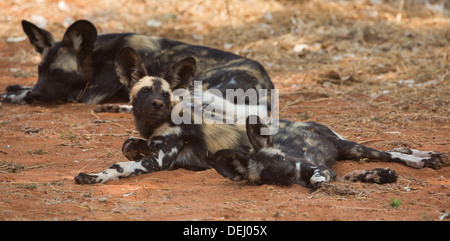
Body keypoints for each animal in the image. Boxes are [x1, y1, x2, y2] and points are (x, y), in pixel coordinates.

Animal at [1, 19, 272, 107]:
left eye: (58, 73)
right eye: (39, 71)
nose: (38, 93)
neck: (97, 55)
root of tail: (267, 80)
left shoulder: (84, 95)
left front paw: (15, 96)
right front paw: (16, 89)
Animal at [74, 47, 268, 185]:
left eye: (166, 94)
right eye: (145, 91)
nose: (158, 104)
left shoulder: (158, 160)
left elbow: (118, 165)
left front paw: (94, 177)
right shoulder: (152, 147)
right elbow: (127, 144)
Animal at [210, 116, 446, 190]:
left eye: (279, 157)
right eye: (266, 172)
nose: (288, 172)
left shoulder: (319, 168)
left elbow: (317, 180)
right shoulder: (326, 172)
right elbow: (341, 178)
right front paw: (379, 175)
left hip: (349, 147)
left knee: (388, 154)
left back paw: (424, 158)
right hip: (348, 150)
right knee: (389, 152)